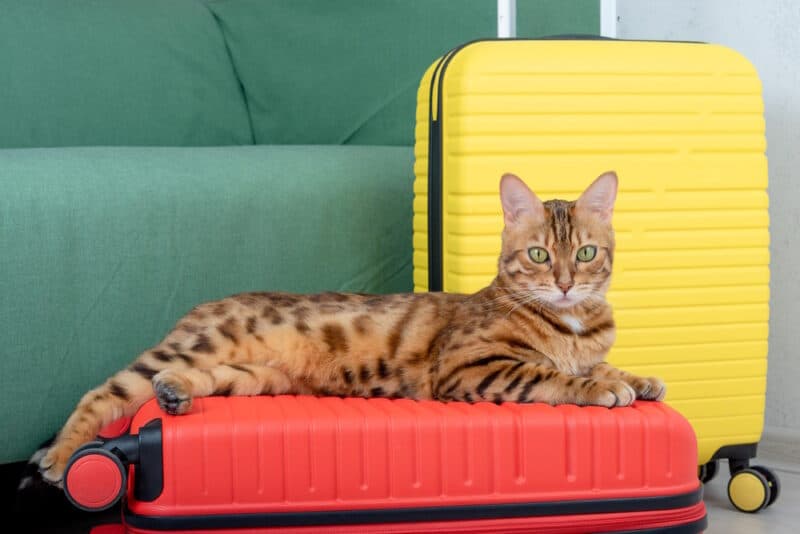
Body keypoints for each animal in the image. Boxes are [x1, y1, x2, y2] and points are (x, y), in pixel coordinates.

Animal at [36, 170, 664, 488]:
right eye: (538, 255)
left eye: (585, 253)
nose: (565, 284)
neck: (573, 323)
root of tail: (200, 307)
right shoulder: (469, 367)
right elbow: (554, 373)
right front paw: (603, 386)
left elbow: (603, 361)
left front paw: (639, 377)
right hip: (201, 348)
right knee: (103, 392)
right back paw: (59, 459)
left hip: (254, 376)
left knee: (185, 379)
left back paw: (174, 395)